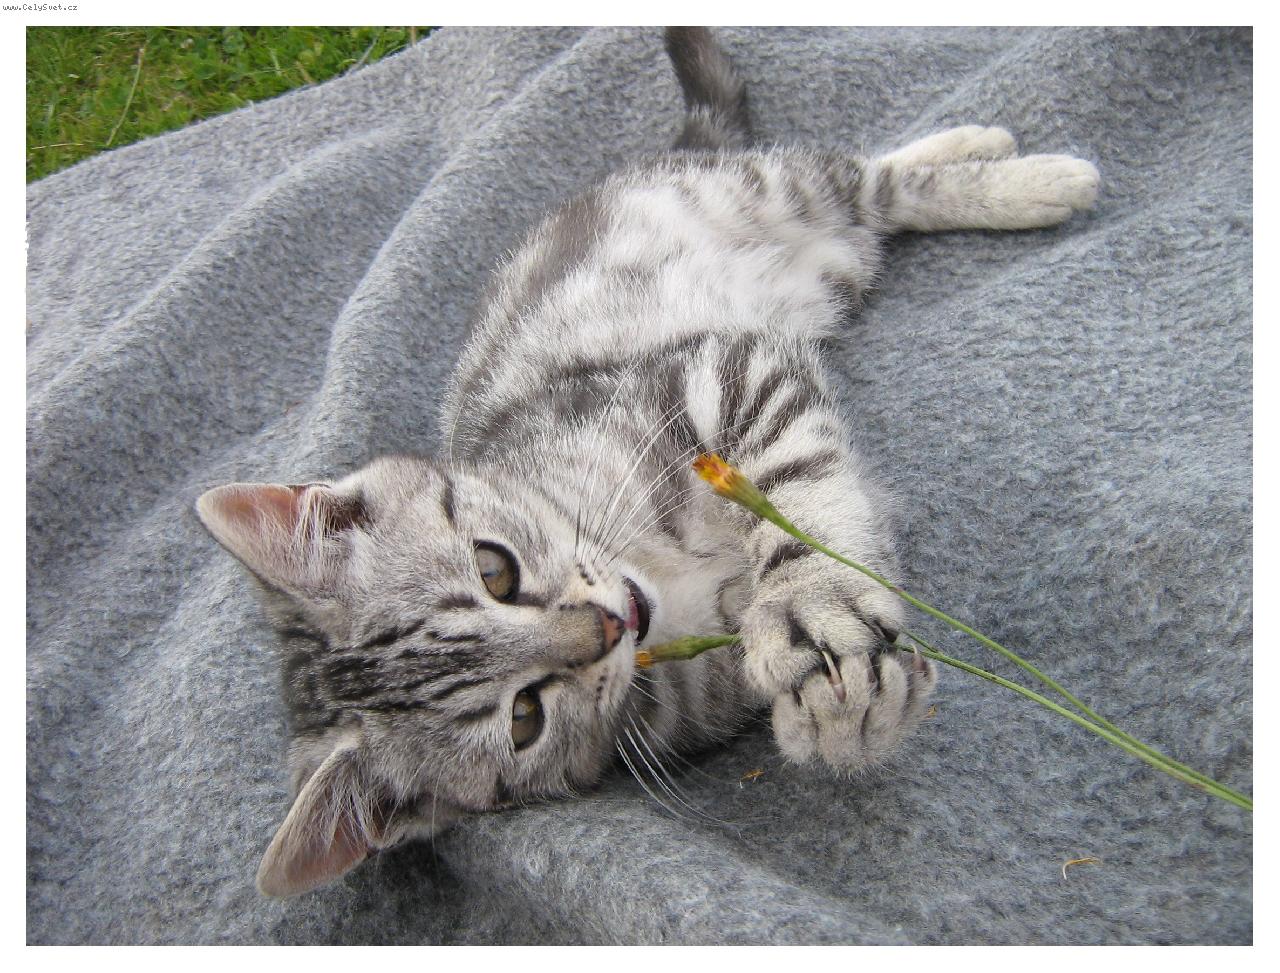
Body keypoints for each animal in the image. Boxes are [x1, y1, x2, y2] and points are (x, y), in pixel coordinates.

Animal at [197, 27, 1099, 897]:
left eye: (494, 569)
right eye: (523, 717)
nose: (608, 625)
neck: (651, 569)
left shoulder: (711, 371)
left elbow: (792, 491)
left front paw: (811, 598)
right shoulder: (694, 686)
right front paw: (847, 717)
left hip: (765, 192)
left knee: (866, 176)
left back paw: (1022, 169)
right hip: (835, 267)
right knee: (869, 202)